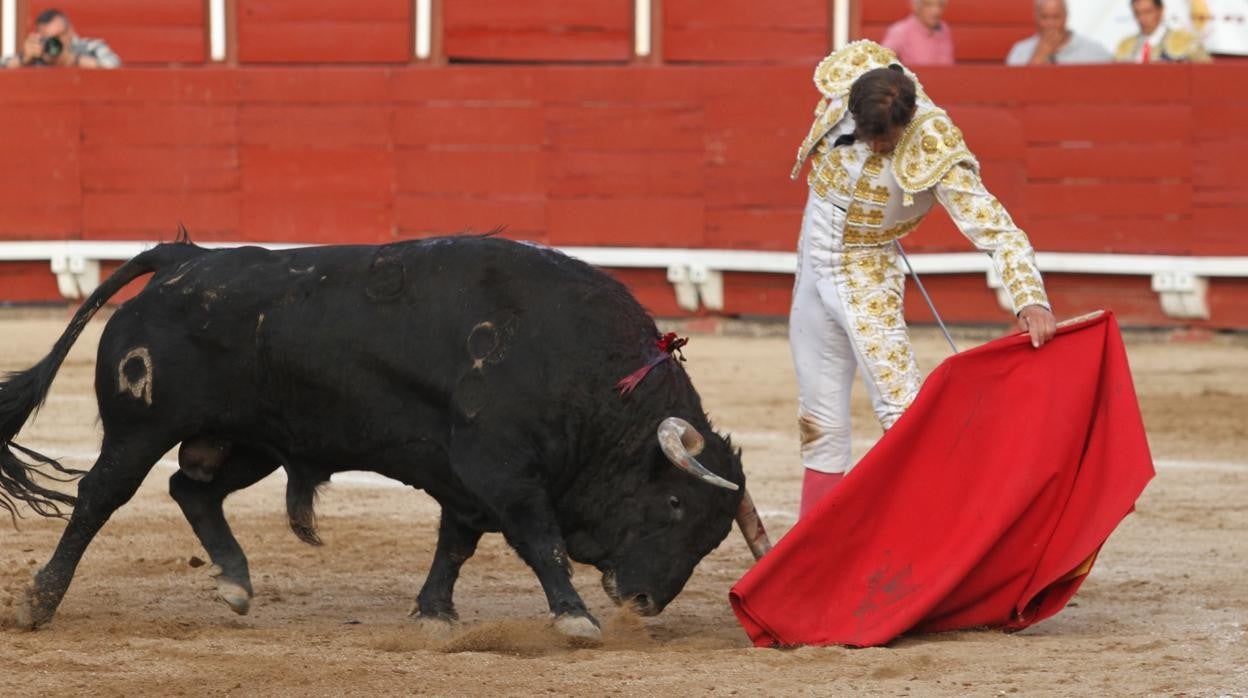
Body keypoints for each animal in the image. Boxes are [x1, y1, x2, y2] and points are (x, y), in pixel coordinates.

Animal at [0, 237, 768, 644]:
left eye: (713, 538)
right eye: (674, 506)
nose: (644, 601)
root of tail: (187, 257)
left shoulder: (468, 482)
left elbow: (455, 543)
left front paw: (435, 612)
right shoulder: (503, 472)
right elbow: (540, 540)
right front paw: (575, 618)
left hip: (250, 442)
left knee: (190, 488)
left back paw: (236, 583)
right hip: (140, 429)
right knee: (100, 496)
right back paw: (41, 601)